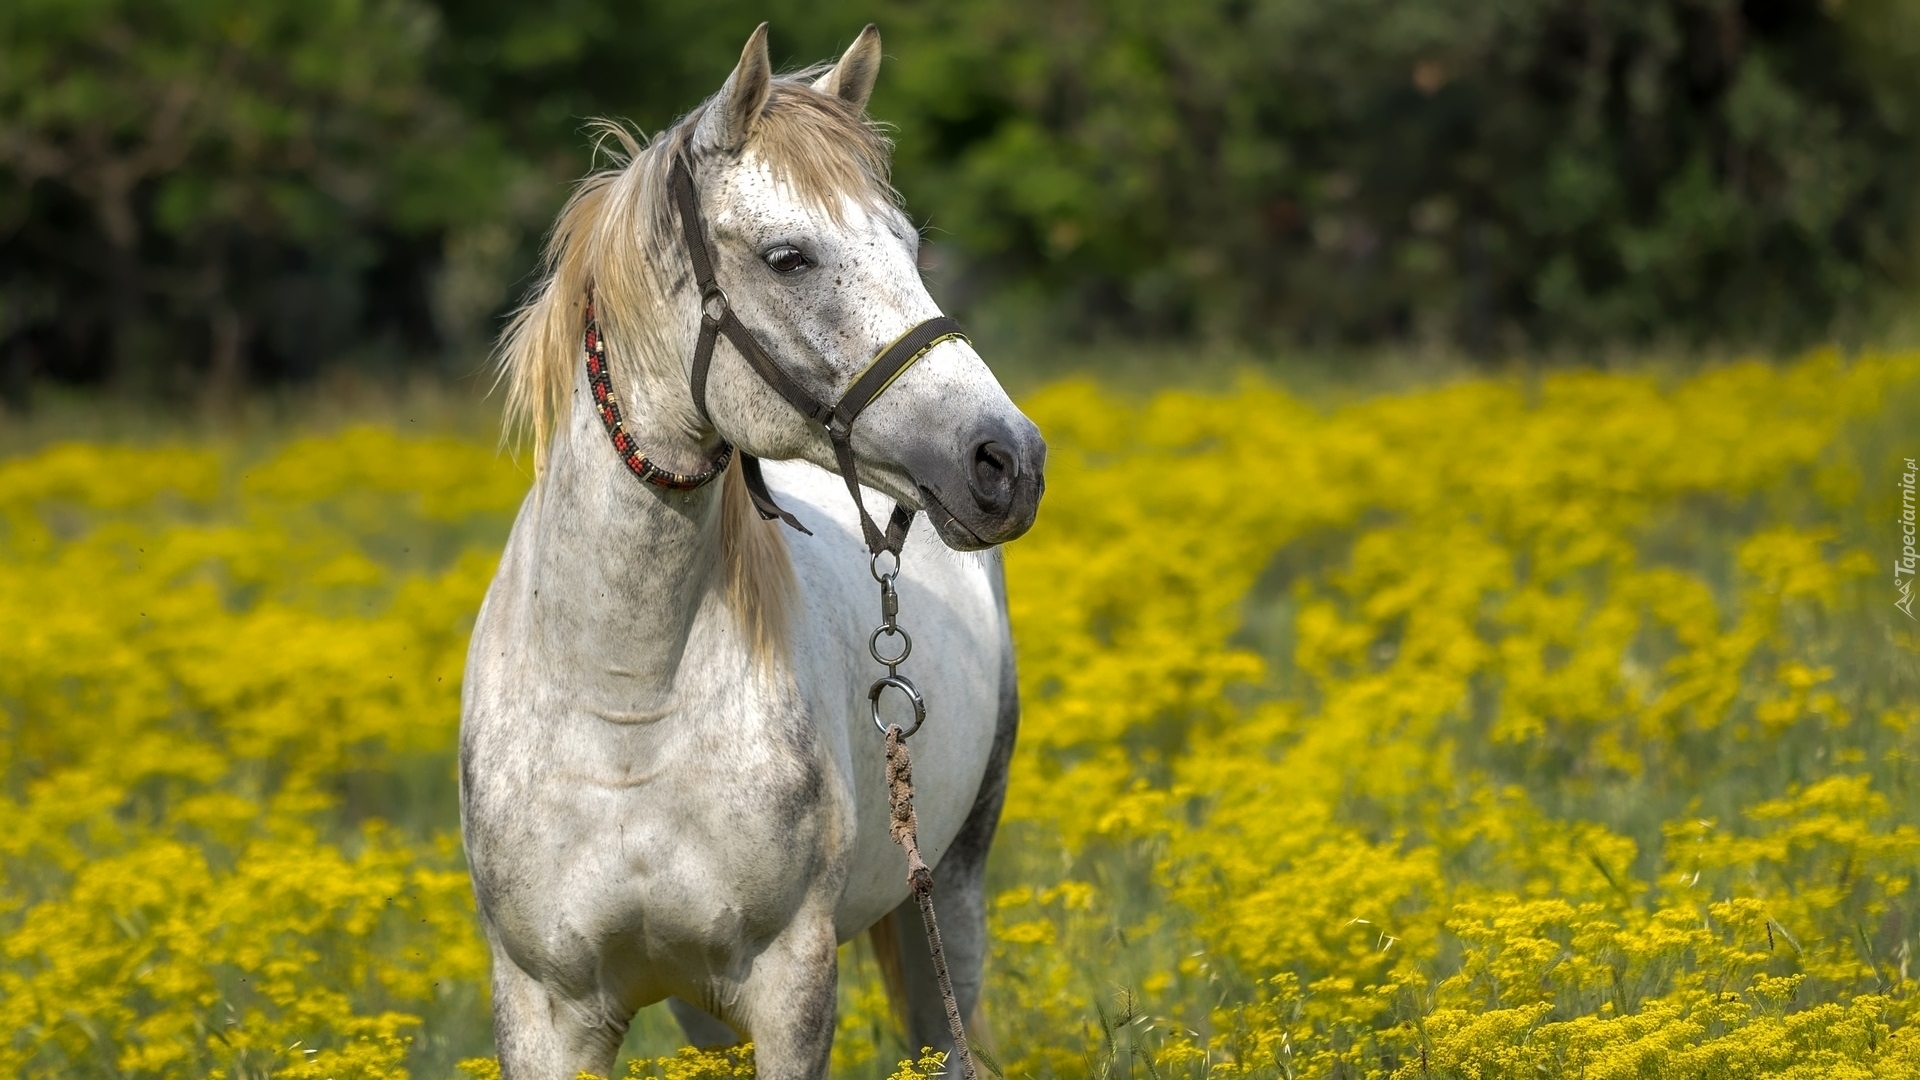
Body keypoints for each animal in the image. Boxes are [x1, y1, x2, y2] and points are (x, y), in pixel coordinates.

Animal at [456, 25, 1044, 1076]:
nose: (1008, 459)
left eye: (909, 248)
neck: (625, 701)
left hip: (952, 892)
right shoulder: (542, 1007)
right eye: (788, 257)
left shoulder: (790, 983)